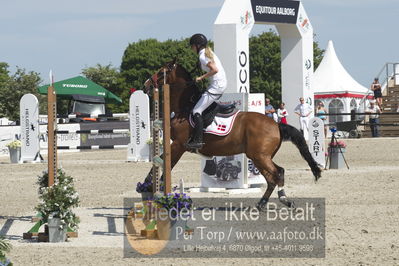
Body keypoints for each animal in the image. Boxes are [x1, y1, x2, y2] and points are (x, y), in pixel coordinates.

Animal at [144, 58, 322, 210]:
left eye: (162, 71)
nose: (146, 85)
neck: (186, 107)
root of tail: (276, 124)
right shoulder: (177, 146)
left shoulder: (178, 145)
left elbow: (166, 164)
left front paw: (148, 186)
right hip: (259, 157)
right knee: (274, 177)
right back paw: (264, 203)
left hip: (260, 156)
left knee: (277, 174)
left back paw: (283, 200)